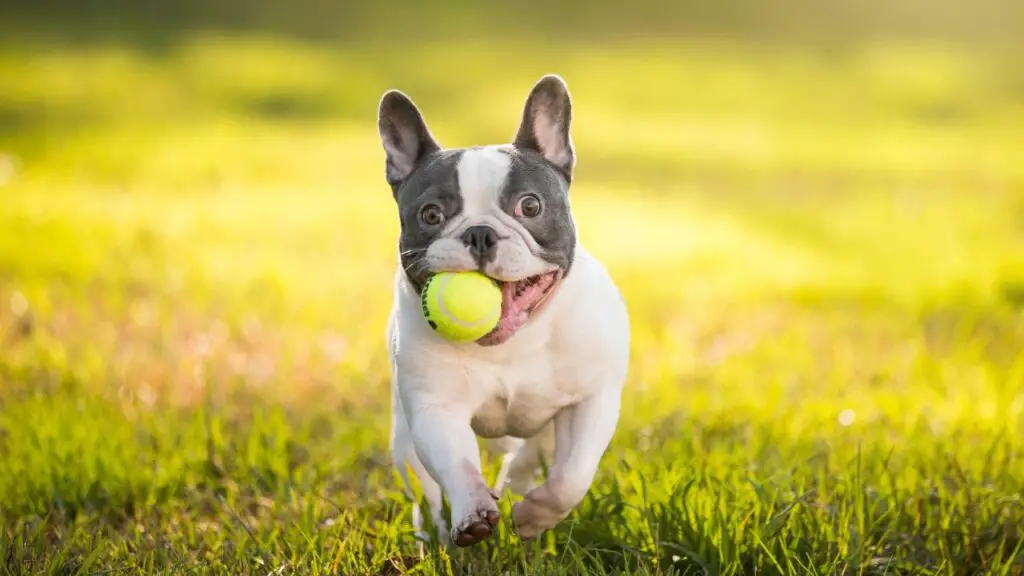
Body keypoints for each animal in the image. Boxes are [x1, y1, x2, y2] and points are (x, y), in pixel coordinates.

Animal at [378, 73, 626, 545]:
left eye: (530, 206)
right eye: (431, 215)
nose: (480, 233)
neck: (514, 342)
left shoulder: (590, 400)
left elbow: (572, 477)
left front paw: (533, 517)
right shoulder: (436, 409)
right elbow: (456, 464)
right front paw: (472, 512)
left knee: (531, 457)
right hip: (403, 437)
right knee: (424, 489)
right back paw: (433, 532)